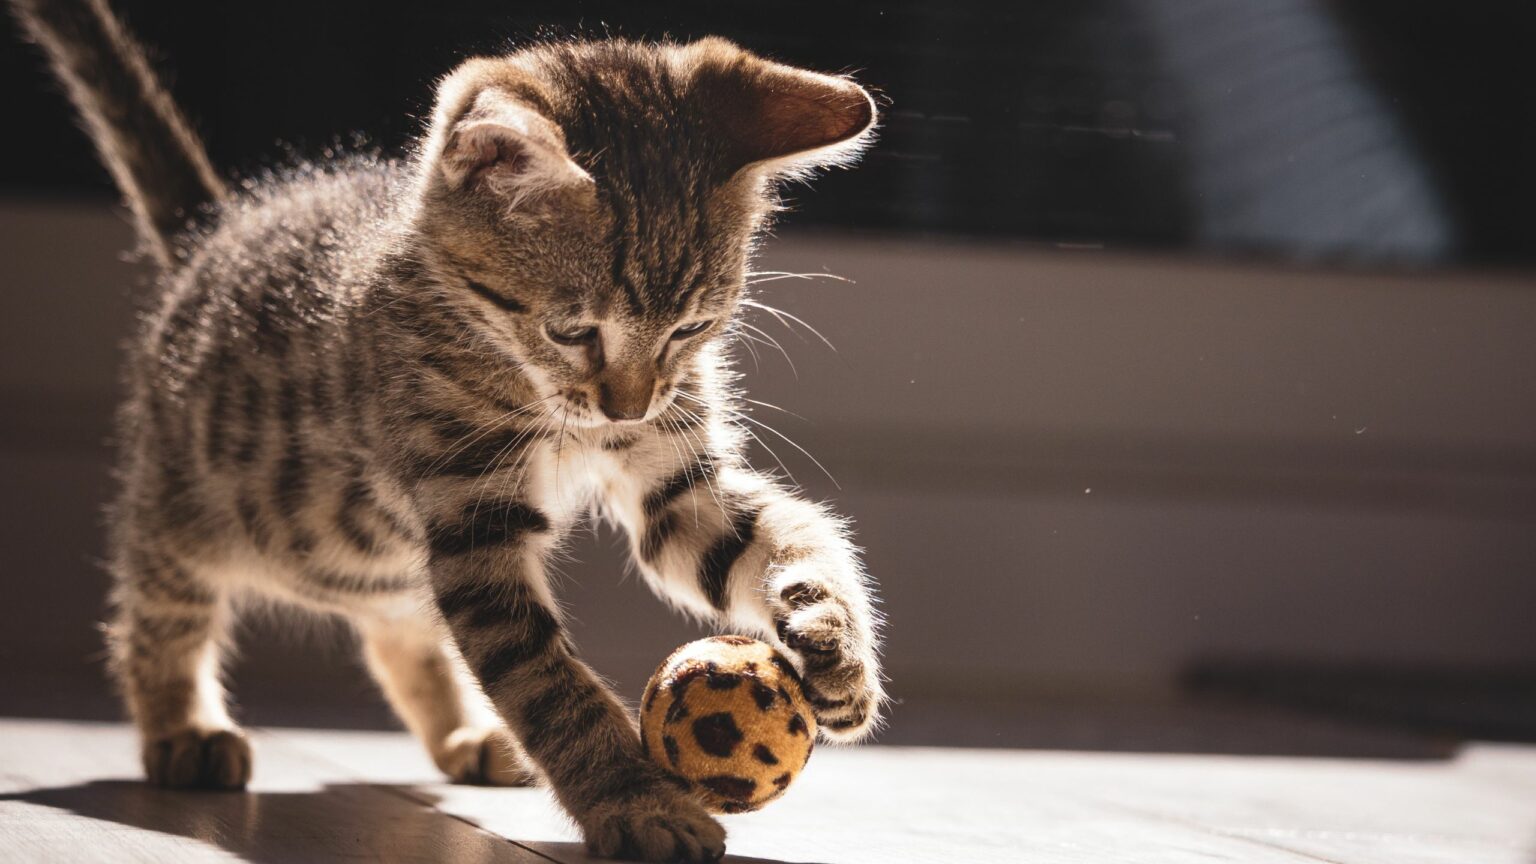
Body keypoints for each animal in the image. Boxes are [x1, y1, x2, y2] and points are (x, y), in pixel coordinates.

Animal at [18, 0, 890, 854]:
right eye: (574, 332)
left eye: (692, 328)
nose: (628, 407)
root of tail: (218, 236)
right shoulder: (473, 520)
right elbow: (544, 680)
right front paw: (637, 803)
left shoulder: (675, 487)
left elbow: (780, 536)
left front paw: (834, 643)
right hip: (188, 507)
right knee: (157, 607)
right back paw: (182, 728)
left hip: (380, 559)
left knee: (400, 629)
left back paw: (467, 737)